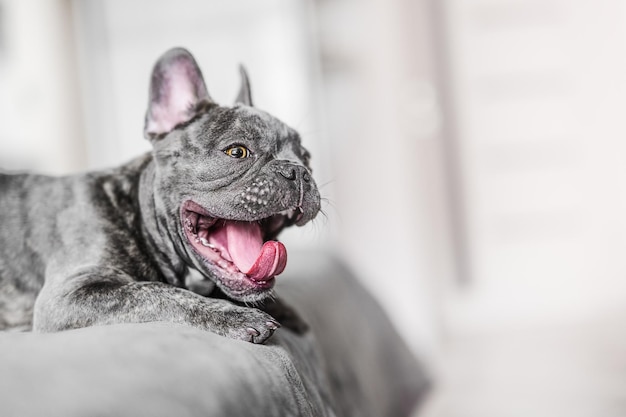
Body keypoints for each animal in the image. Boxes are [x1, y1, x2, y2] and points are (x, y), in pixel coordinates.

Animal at [0, 47, 320, 342]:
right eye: (237, 151)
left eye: (306, 157)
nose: (297, 170)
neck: (137, 214)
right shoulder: (67, 296)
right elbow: (157, 292)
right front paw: (235, 315)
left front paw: (282, 309)